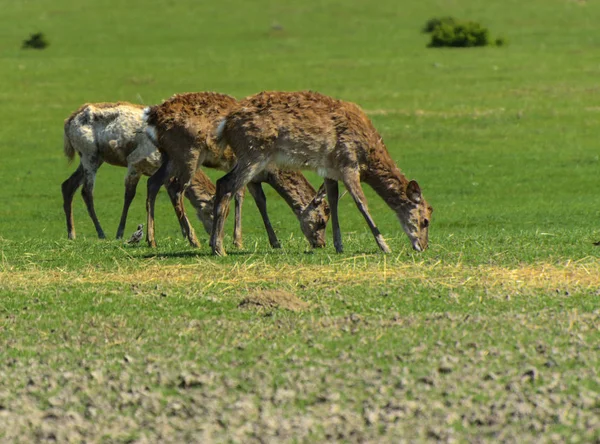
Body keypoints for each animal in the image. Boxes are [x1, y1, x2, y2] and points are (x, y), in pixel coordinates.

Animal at [61, 102, 219, 241]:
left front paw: (185, 234)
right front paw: (120, 233)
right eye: (211, 211)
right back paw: (101, 233)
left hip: (96, 157)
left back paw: (71, 233)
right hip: (89, 153)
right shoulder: (135, 162)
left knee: (68, 184)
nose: (215, 233)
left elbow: (173, 196)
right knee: (86, 191)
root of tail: (68, 121)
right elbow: (129, 195)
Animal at [143, 91, 330, 250]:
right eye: (322, 221)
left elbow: (260, 201)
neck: (275, 171)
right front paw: (237, 242)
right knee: (176, 189)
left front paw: (275, 242)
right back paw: (193, 240)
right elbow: (239, 197)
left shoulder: (255, 177)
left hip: (168, 155)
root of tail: (153, 116)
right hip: (188, 154)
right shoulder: (247, 167)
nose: (321, 244)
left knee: (153, 182)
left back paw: (152, 239)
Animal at [211, 90, 432, 256]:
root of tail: (224, 124)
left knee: (222, 184)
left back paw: (215, 245)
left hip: (247, 156)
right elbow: (361, 203)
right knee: (226, 185)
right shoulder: (348, 162)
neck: (368, 156)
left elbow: (333, 201)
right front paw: (385, 246)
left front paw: (339, 245)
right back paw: (219, 248)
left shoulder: (330, 170)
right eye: (425, 220)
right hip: (253, 153)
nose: (423, 247)